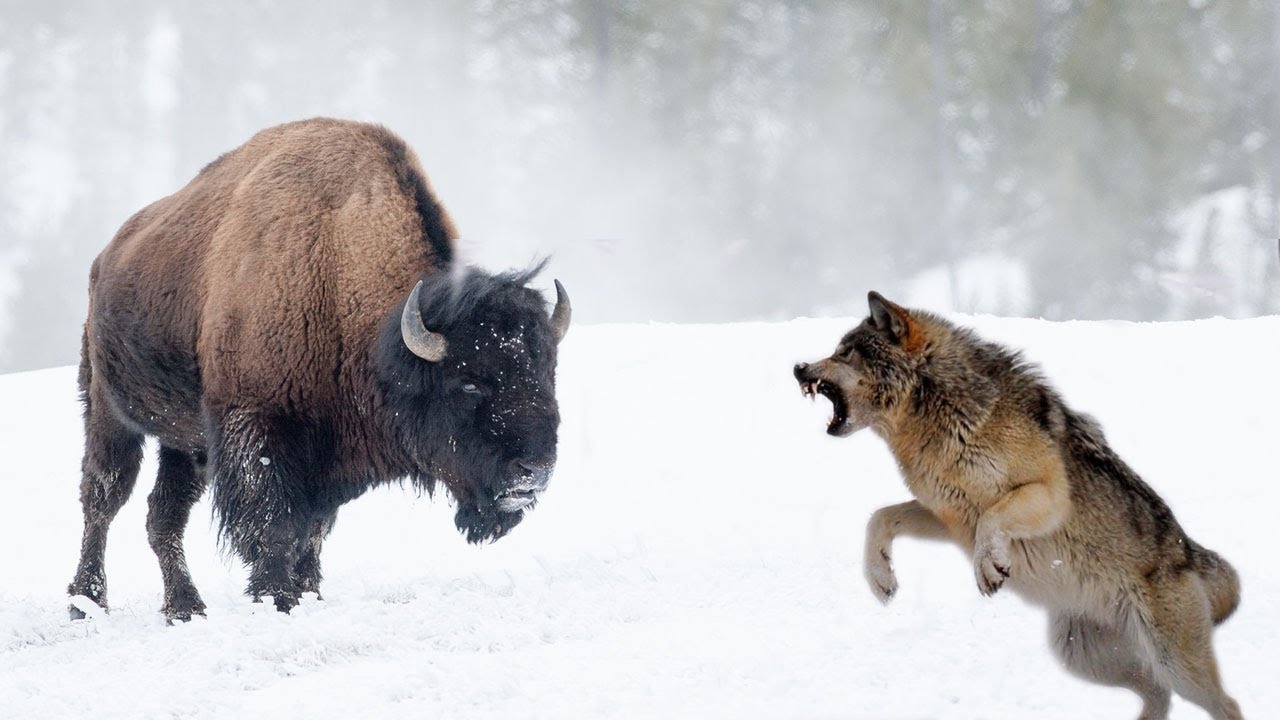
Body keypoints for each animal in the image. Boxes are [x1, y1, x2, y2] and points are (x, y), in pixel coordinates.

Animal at [66, 117, 570, 617]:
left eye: (547, 373)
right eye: (468, 383)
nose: (534, 471)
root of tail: (104, 259)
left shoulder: (329, 458)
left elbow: (312, 529)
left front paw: (309, 591)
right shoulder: (259, 427)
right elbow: (273, 523)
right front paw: (277, 596)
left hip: (184, 443)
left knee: (164, 514)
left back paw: (185, 607)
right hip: (108, 412)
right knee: (103, 498)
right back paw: (86, 602)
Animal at [788, 288, 1239, 712]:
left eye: (844, 353)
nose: (798, 368)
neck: (938, 415)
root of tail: (1189, 552)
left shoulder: (1047, 494)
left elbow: (994, 516)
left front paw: (990, 567)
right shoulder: (950, 516)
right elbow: (879, 517)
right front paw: (880, 578)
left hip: (1174, 665)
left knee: (1224, 703)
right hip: (1080, 657)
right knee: (1158, 696)